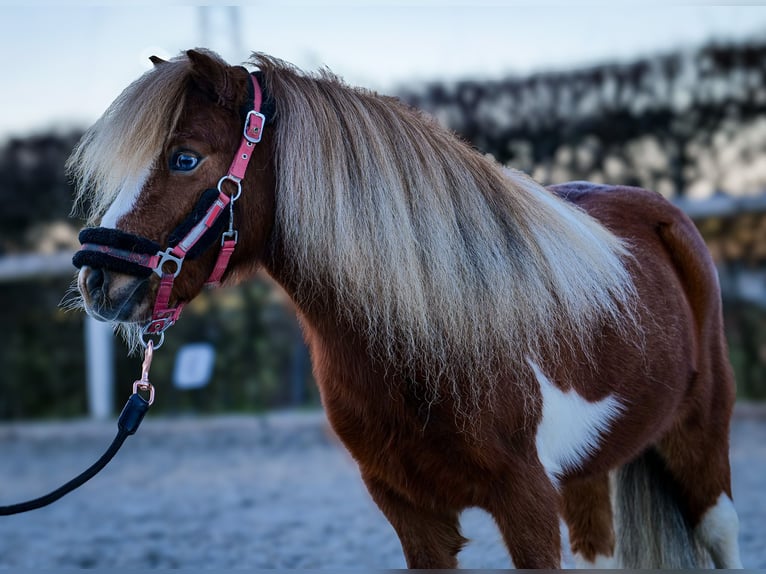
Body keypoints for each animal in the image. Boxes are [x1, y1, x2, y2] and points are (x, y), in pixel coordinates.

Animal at [67, 50, 744, 572]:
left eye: (184, 157)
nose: (98, 277)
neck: (430, 336)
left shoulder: (527, 504)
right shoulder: (410, 510)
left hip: (701, 439)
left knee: (722, 535)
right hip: (587, 472)